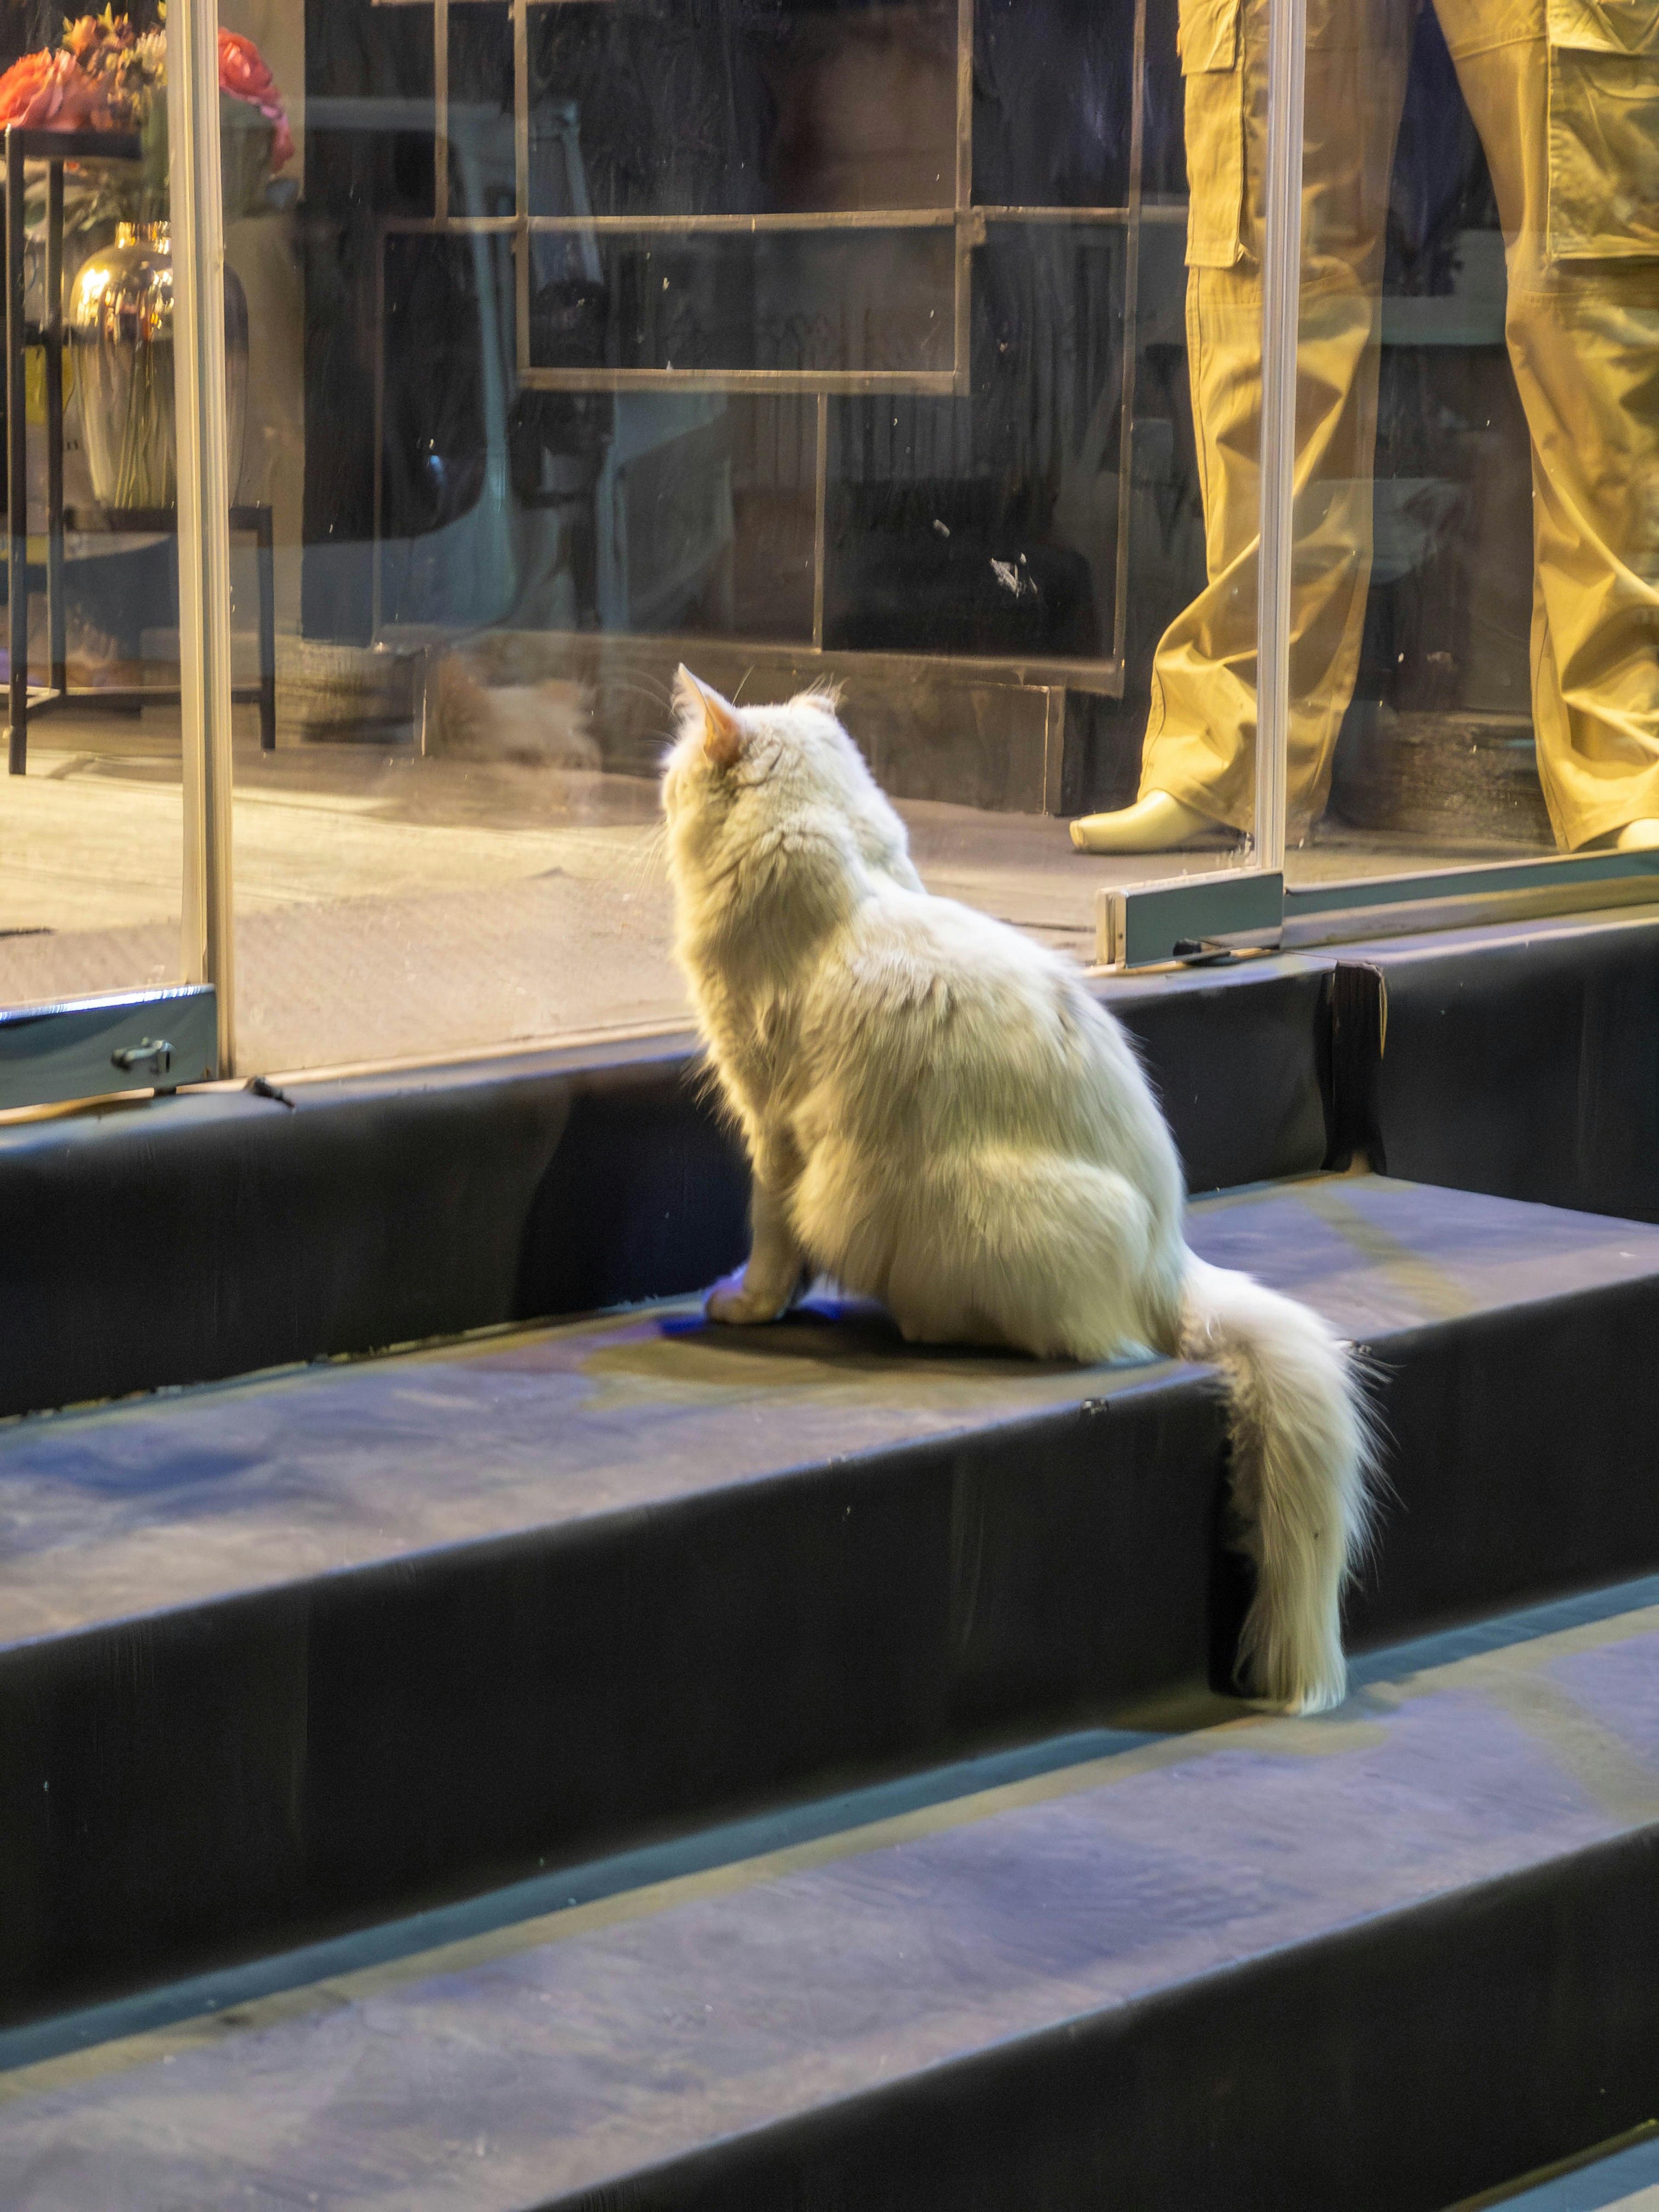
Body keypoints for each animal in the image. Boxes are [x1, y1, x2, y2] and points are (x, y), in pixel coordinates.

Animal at [664, 664, 1380, 1699]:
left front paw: (750, 1305)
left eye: (676, 773)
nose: (665, 791)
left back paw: (928, 1324)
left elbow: (770, 1233)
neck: (849, 872)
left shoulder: (772, 1125)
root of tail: (1171, 1261)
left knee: (1080, 1341)